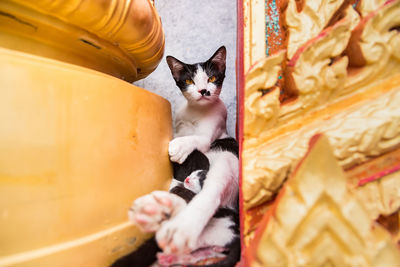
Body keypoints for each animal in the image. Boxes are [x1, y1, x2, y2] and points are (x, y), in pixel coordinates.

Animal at [111, 46, 239, 267]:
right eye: (190, 81)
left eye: (212, 78)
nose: (203, 91)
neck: (197, 111)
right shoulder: (180, 124)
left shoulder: (210, 133)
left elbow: (198, 139)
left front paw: (179, 146)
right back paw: (158, 210)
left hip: (225, 165)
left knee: (207, 198)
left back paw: (178, 224)